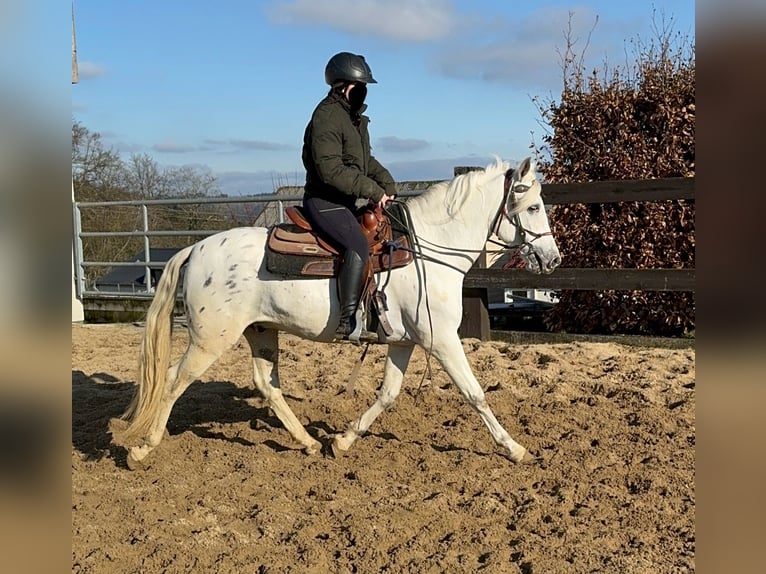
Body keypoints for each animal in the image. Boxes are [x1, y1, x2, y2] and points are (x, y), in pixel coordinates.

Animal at [112, 156, 560, 468]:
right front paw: (515, 448)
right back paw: (142, 449)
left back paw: (309, 442)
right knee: (174, 380)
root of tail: (196, 248)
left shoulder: (405, 342)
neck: (426, 250)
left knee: (267, 385)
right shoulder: (442, 341)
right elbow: (475, 393)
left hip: (261, 331)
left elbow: (388, 394)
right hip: (211, 339)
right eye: (534, 207)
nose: (553, 259)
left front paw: (343, 441)